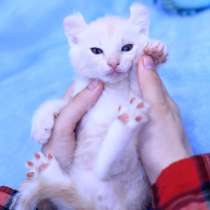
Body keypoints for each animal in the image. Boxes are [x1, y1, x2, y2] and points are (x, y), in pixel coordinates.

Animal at [13, 3, 167, 210]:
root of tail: (97, 205)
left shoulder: (138, 93)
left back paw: (127, 121)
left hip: (134, 173)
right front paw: (40, 126)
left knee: (107, 167)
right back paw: (48, 170)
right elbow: (55, 103)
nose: (113, 63)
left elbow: (136, 74)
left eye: (127, 48)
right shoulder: (78, 95)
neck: (111, 87)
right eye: (96, 51)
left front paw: (154, 53)